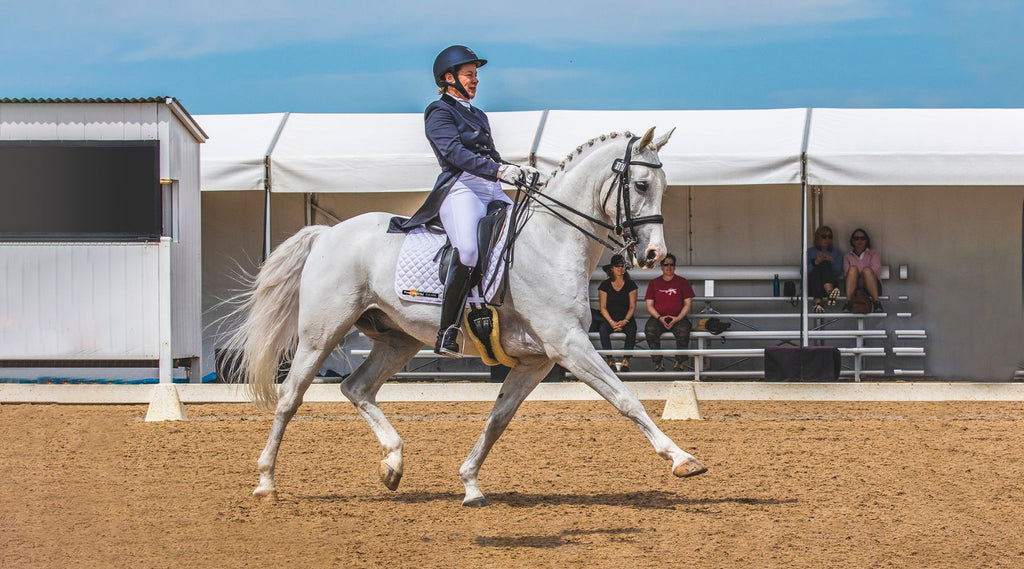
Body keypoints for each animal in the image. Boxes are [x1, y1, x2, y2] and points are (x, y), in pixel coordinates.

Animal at [226, 127, 704, 507]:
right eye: (640, 184)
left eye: (664, 185)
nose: (653, 254)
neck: (552, 241)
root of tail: (329, 233)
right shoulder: (568, 344)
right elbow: (626, 399)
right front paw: (682, 459)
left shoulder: (537, 361)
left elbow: (498, 420)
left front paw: (470, 484)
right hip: (319, 334)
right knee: (290, 398)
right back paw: (266, 483)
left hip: (398, 340)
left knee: (356, 387)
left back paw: (392, 463)